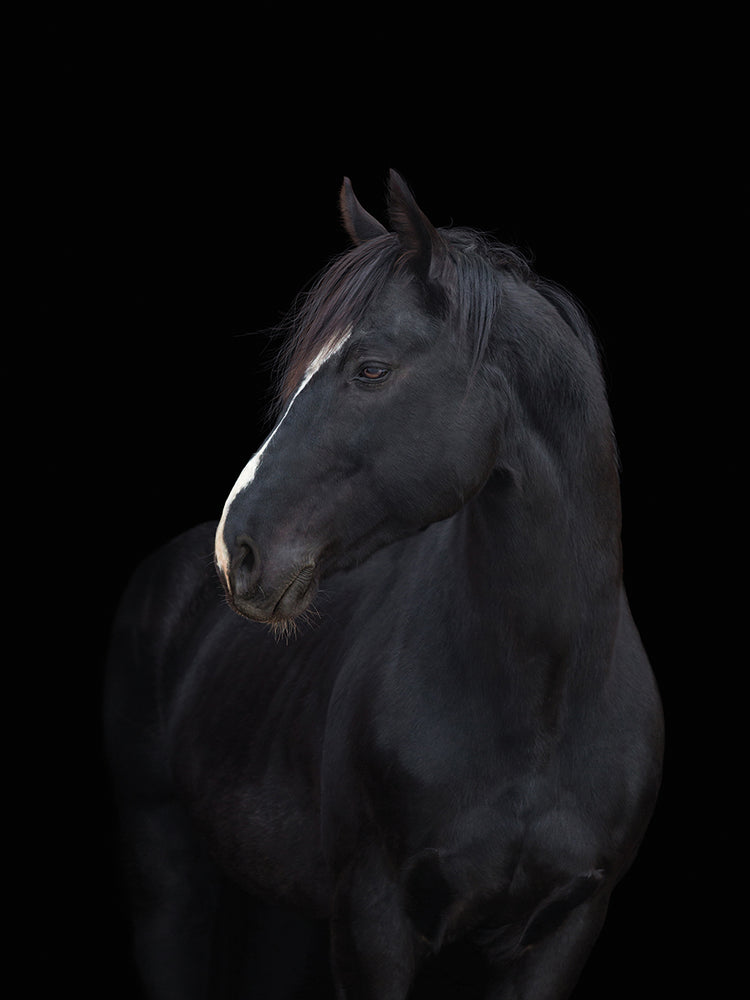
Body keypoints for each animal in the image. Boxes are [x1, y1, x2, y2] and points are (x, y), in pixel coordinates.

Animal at [105, 170, 664, 999]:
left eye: (370, 368)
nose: (238, 551)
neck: (546, 704)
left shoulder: (562, 931)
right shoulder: (373, 919)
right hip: (162, 863)